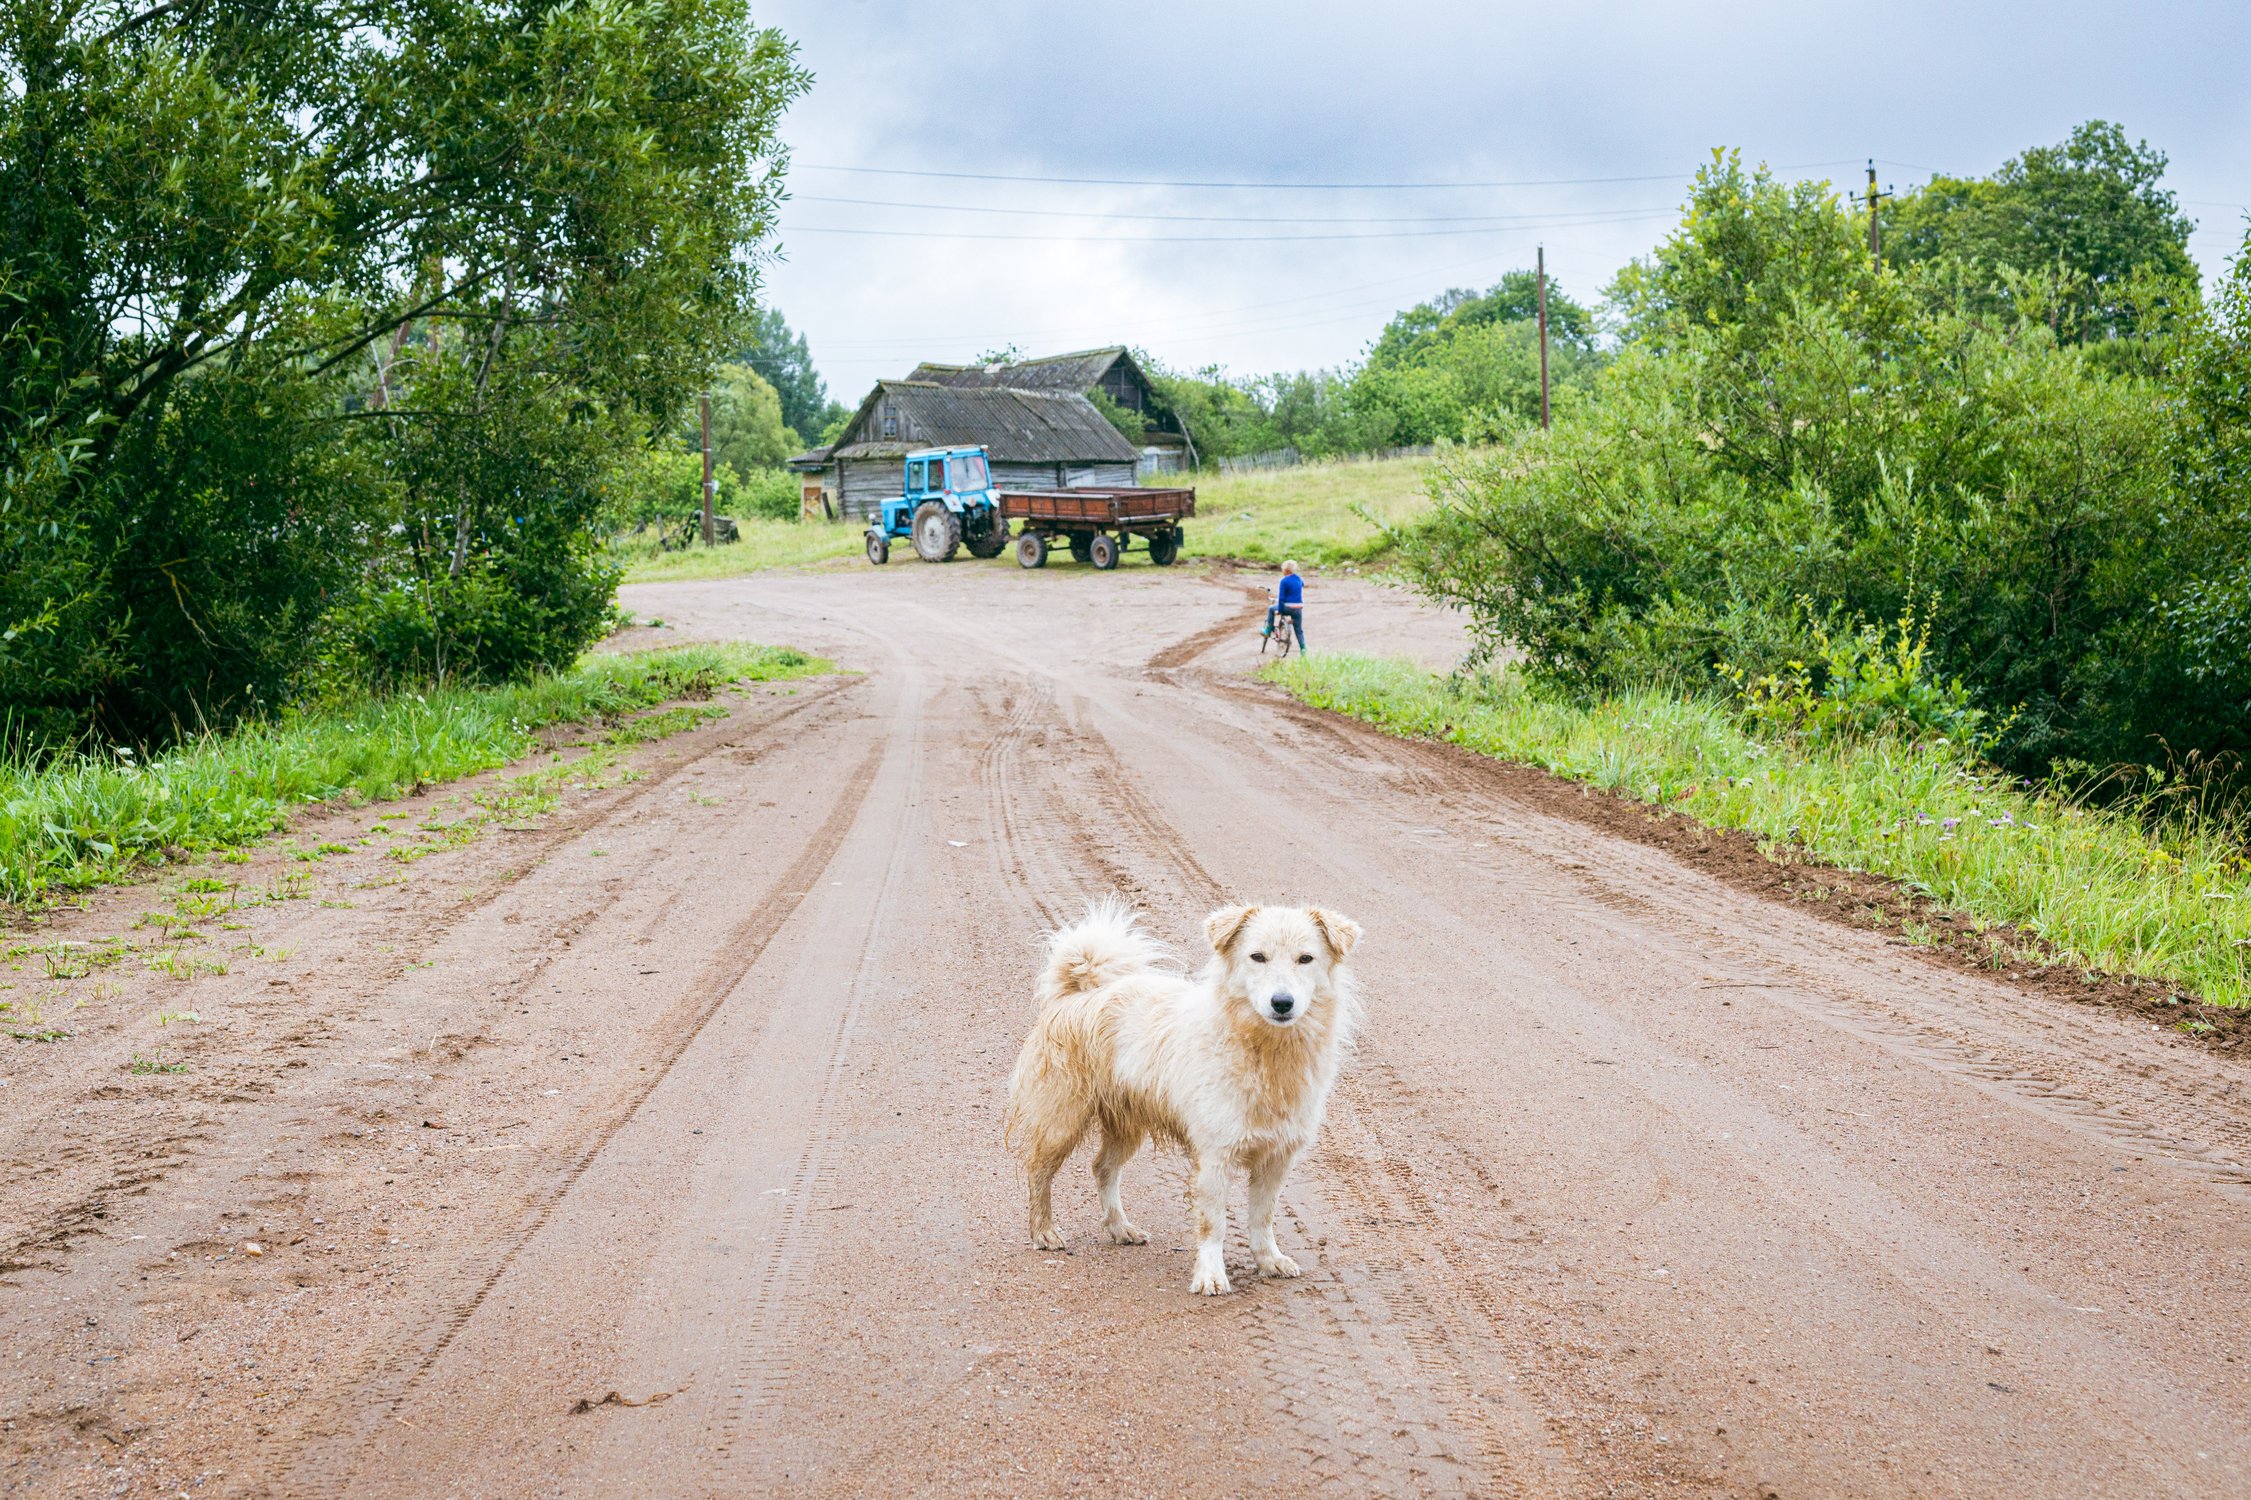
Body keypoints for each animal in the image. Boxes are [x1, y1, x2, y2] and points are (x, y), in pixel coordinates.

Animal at [1012, 891, 1359, 1288]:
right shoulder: (1215, 1157)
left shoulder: (1277, 1158)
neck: (1266, 1050)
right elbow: (1214, 1225)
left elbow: (1263, 1217)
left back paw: (1120, 1228)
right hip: (1062, 1119)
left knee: (1102, 1168)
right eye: (1257, 957)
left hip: (1125, 1125)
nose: (1282, 1002)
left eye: (1306, 959)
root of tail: (1076, 993)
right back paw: (1043, 1231)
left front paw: (1269, 1259)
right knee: (1039, 1171)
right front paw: (1210, 1275)